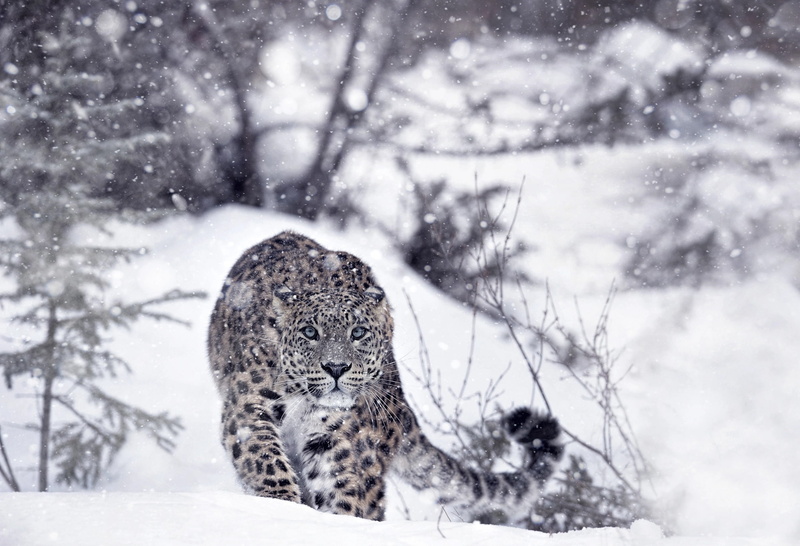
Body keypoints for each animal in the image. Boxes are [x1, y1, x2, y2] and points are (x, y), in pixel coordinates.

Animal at [208, 231, 563, 523]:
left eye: (358, 333)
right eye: (310, 332)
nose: (336, 367)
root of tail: (401, 405)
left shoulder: (337, 436)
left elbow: (343, 488)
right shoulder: (249, 406)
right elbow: (264, 457)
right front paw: (280, 503)